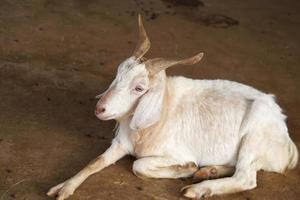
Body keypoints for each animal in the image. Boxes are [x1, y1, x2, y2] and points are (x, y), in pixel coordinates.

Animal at [47, 14, 298, 199]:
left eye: (139, 88)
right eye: (118, 74)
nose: (100, 108)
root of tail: (287, 144)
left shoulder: (174, 152)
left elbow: (138, 165)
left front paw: (185, 168)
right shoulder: (121, 143)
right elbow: (95, 161)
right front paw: (63, 188)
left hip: (255, 136)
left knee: (246, 177)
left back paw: (197, 188)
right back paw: (208, 171)